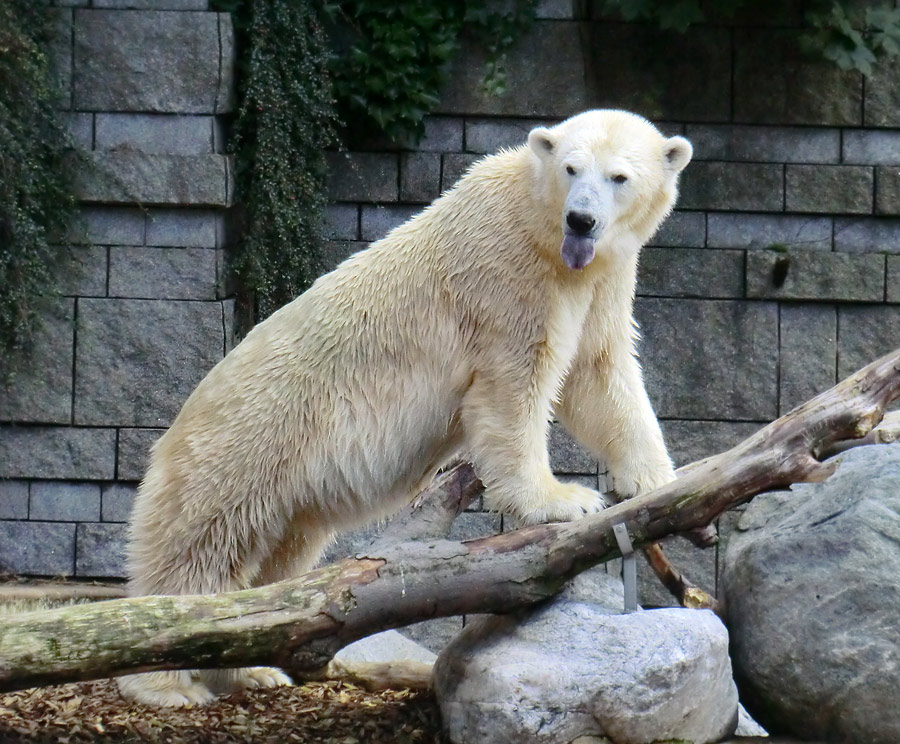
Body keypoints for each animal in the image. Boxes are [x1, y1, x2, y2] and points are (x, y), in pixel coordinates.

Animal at [118, 109, 688, 704]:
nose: (581, 220)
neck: (542, 230)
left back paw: (253, 667)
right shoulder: (507, 279)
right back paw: (168, 682)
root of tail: (174, 431)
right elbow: (513, 387)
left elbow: (598, 375)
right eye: (572, 168)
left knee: (278, 556)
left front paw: (658, 480)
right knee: (199, 551)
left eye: (619, 177)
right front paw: (563, 500)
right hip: (243, 442)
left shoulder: (601, 282)